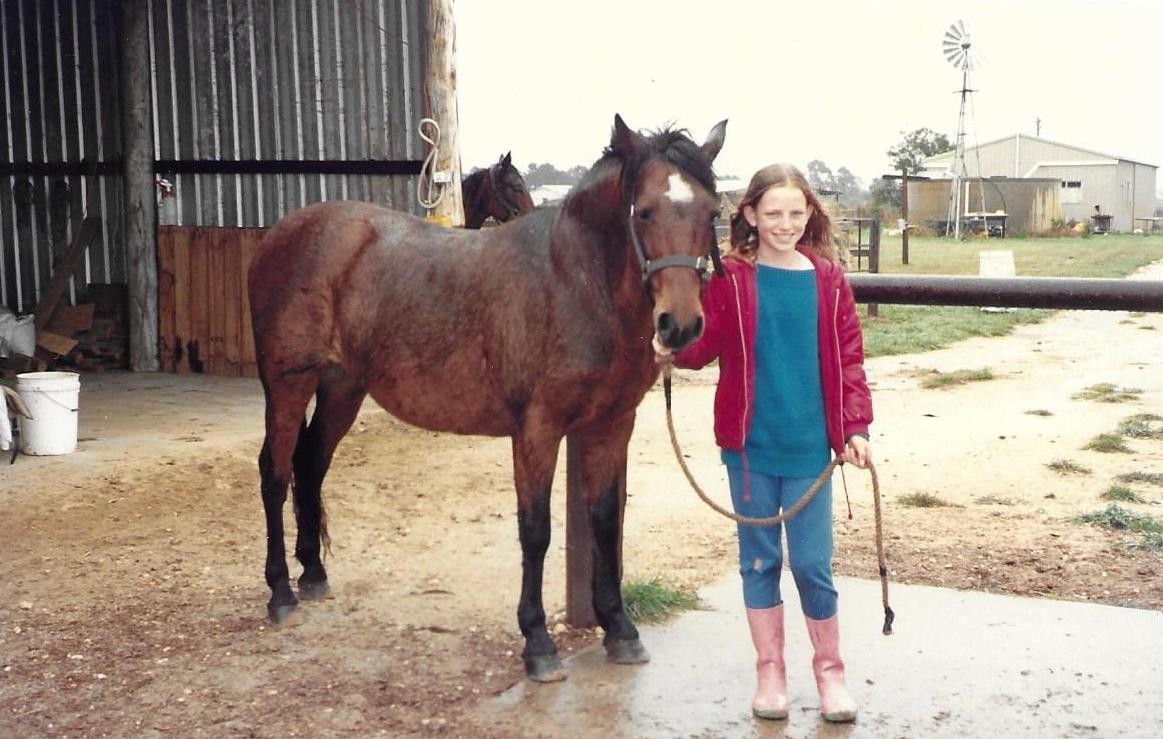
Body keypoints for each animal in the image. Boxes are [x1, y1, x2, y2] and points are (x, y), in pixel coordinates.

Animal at [247, 112, 725, 684]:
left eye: (712, 211)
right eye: (645, 210)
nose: (681, 325)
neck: (576, 281)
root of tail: (282, 234)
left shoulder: (611, 424)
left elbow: (607, 520)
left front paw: (619, 629)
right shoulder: (538, 428)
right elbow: (536, 530)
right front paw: (538, 642)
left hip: (342, 387)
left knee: (310, 465)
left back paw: (314, 574)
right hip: (287, 385)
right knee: (275, 474)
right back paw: (279, 591)